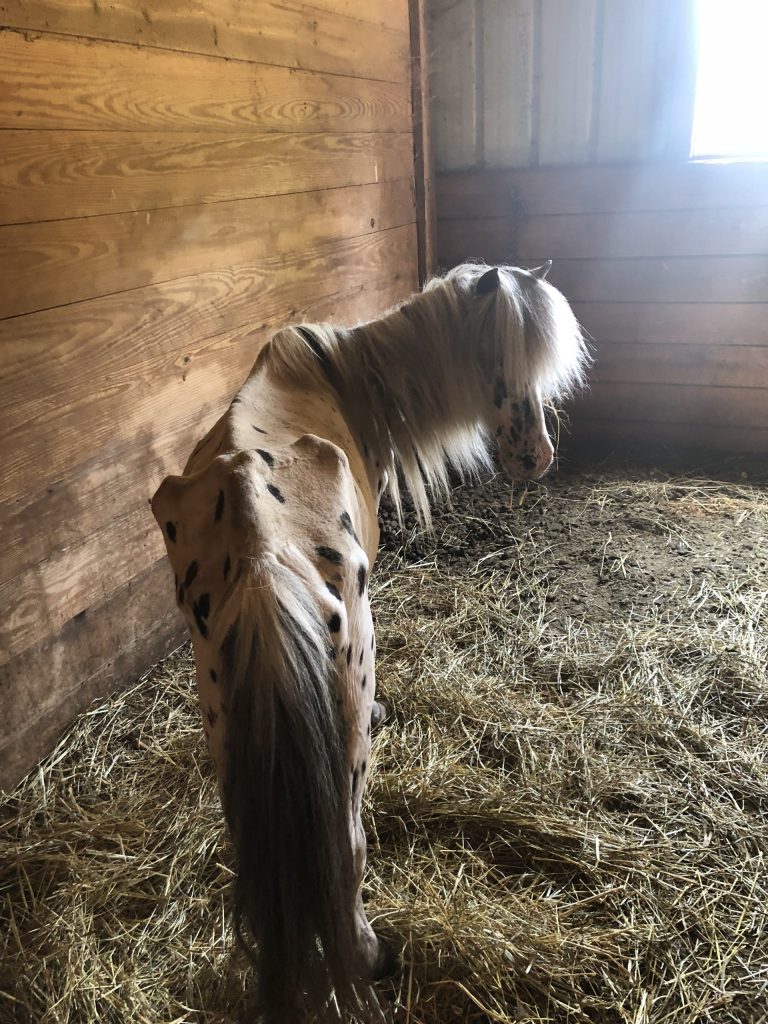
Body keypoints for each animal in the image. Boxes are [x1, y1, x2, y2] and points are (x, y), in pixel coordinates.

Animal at [151, 264, 589, 1024]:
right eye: (491, 357)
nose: (536, 458)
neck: (346, 372)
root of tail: (261, 552)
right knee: (346, 845)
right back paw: (371, 956)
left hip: (222, 713)